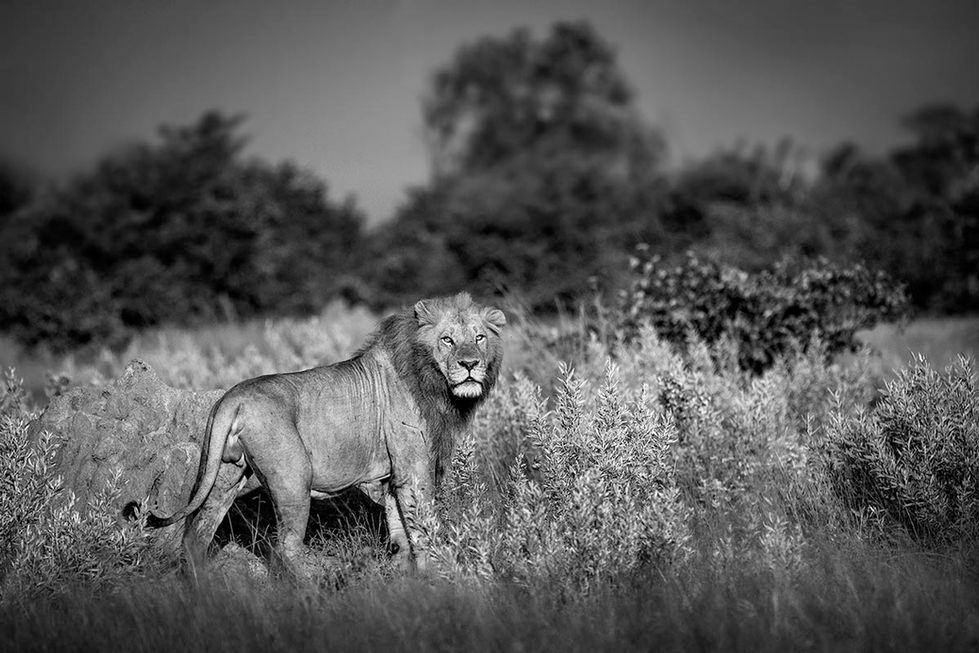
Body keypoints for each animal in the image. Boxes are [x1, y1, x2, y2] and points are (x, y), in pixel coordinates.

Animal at [148, 292, 505, 576]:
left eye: (479, 338)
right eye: (447, 339)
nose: (470, 364)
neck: (433, 382)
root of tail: (232, 397)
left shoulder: (393, 476)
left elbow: (400, 533)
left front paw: (404, 576)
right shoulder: (413, 471)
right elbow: (424, 530)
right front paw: (439, 573)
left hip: (224, 476)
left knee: (196, 537)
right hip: (293, 480)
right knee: (284, 550)